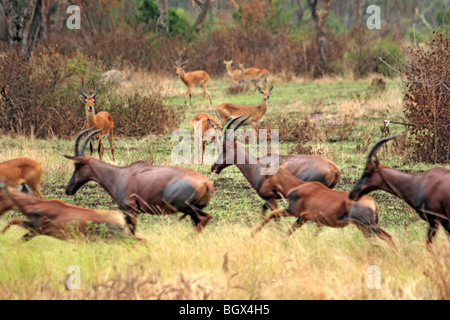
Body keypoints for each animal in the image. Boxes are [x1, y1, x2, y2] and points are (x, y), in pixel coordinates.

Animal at [63, 128, 216, 235]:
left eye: (77, 165)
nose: (68, 189)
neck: (119, 174)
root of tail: (206, 182)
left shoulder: (130, 209)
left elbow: (132, 231)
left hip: (183, 205)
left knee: (204, 218)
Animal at [250, 162, 398, 250]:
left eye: (267, 174)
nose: (262, 191)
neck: (299, 186)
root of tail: (373, 202)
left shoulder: (293, 211)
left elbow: (272, 214)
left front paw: (252, 233)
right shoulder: (304, 218)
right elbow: (289, 231)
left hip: (368, 225)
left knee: (388, 237)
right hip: (363, 227)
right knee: (374, 241)